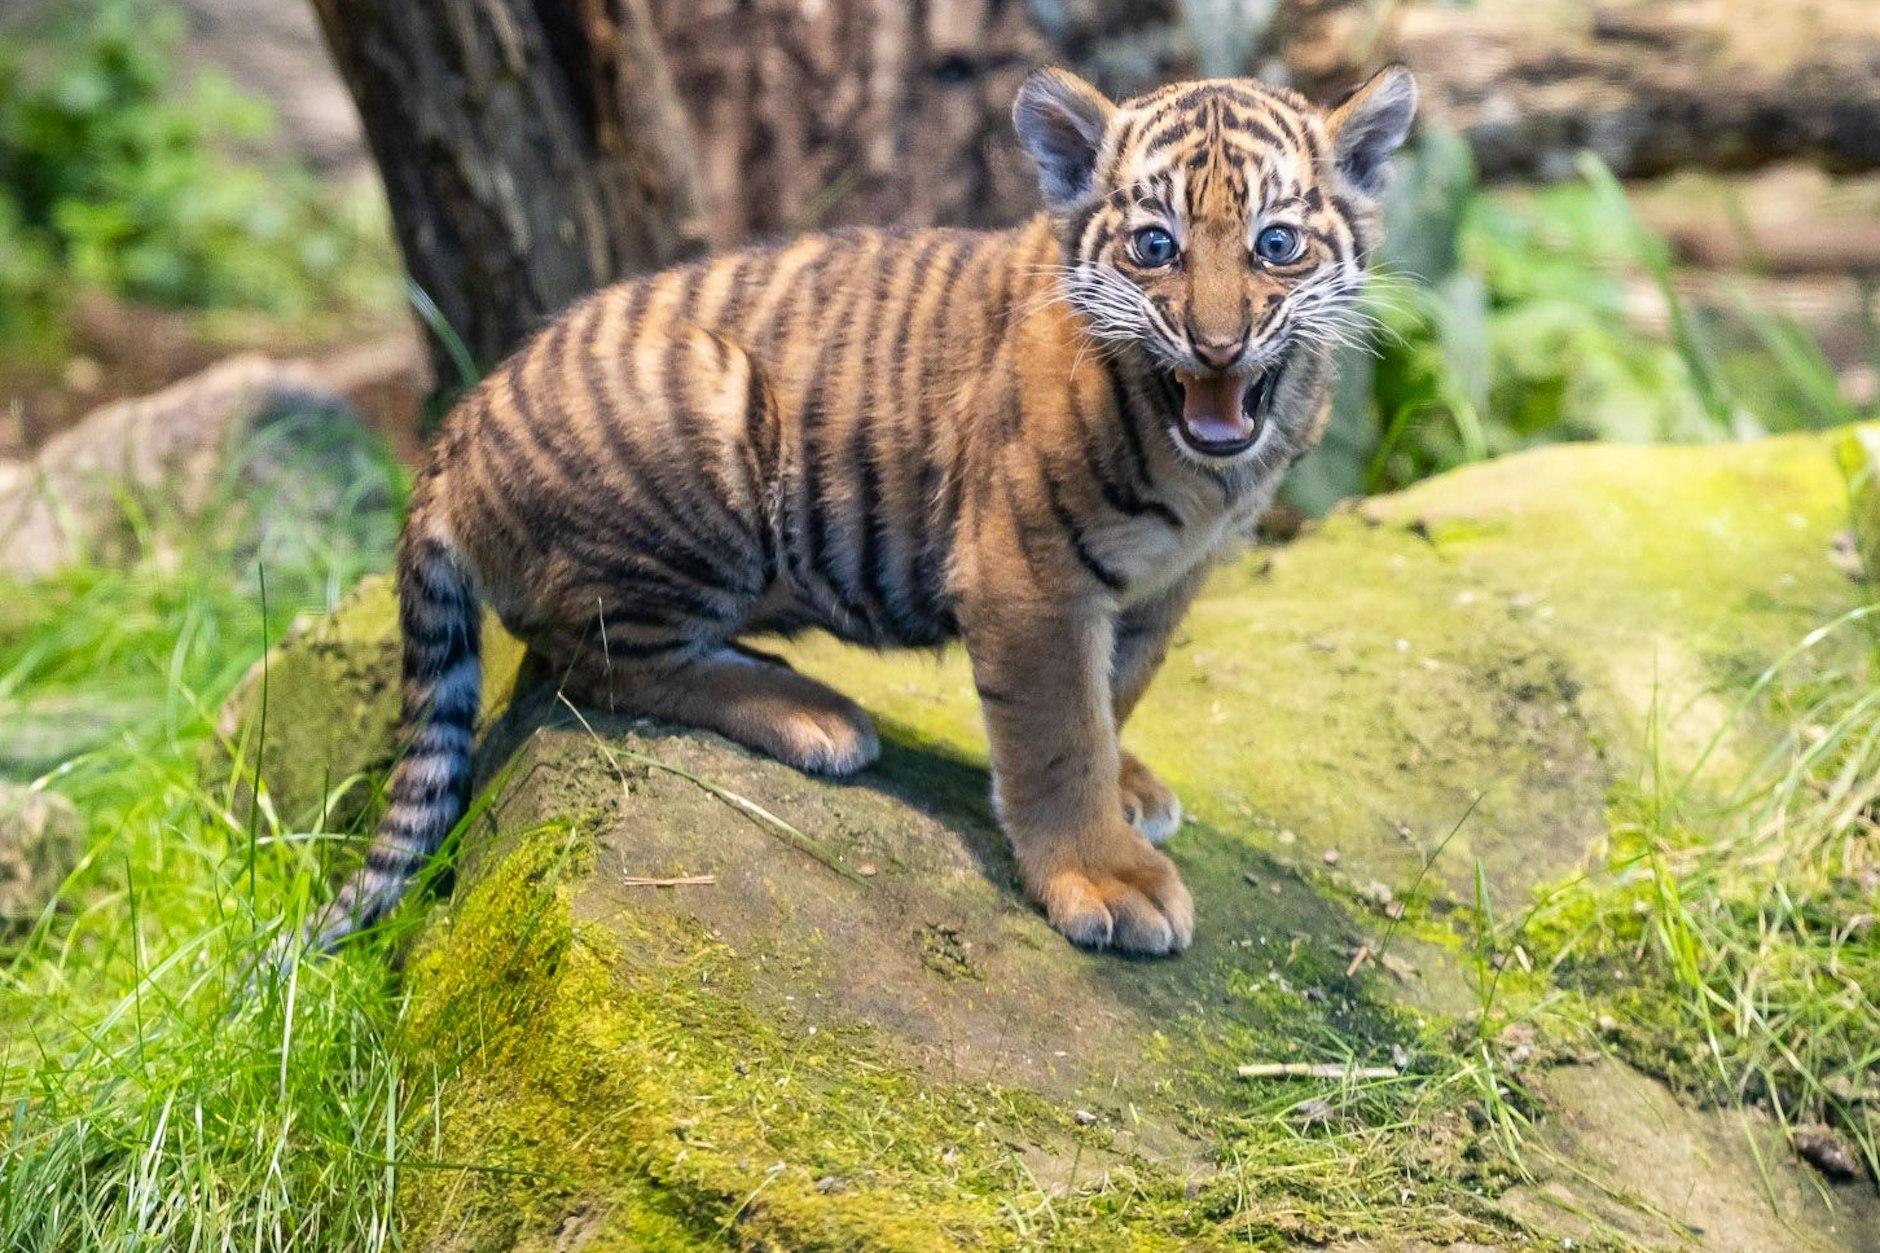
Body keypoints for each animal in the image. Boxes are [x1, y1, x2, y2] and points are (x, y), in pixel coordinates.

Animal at [301, 63, 1417, 959]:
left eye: (1275, 243)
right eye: (1154, 245)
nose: (1218, 345)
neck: (1209, 473)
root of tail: (456, 425)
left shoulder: (1165, 583)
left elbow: (1121, 688)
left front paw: (1128, 785)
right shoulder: (1027, 576)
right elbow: (1060, 733)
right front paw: (1102, 876)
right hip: (708, 426)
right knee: (586, 661)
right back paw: (811, 712)